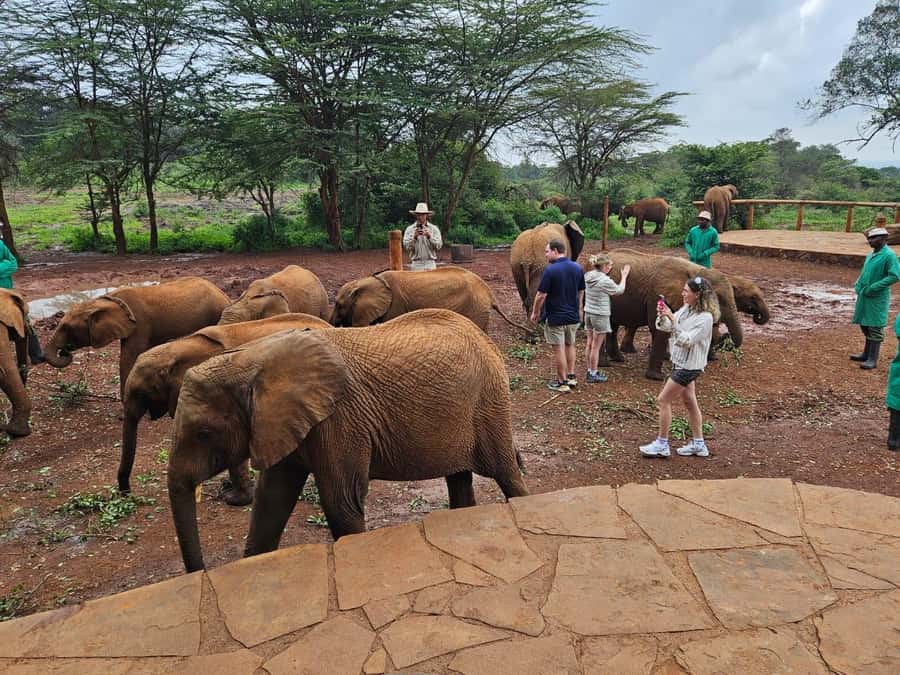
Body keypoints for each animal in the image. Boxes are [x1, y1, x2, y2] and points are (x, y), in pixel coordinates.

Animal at [43, 277, 229, 399]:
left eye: (67, 328)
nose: (65, 351)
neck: (104, 301)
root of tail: (223, 293)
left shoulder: (139, 323)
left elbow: (128, 358)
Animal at [167, 309, 530, 572]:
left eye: (204, 434)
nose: (199, 572)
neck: (252, 360)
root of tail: (486, 338)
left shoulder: (339, 419)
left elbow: (341, 502)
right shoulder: (284, 424)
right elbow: (271, 499)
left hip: (489, 401)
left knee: (505, 472)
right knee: (459, 476)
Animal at [599, 249, 752, 380]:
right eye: (718, 298)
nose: (725, 335)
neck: (694, 270)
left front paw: (667, 359)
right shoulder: (657, 294)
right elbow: (658, 328)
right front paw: (657, 378)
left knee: (613, 325)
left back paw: (618, 359)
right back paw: (604, 364)